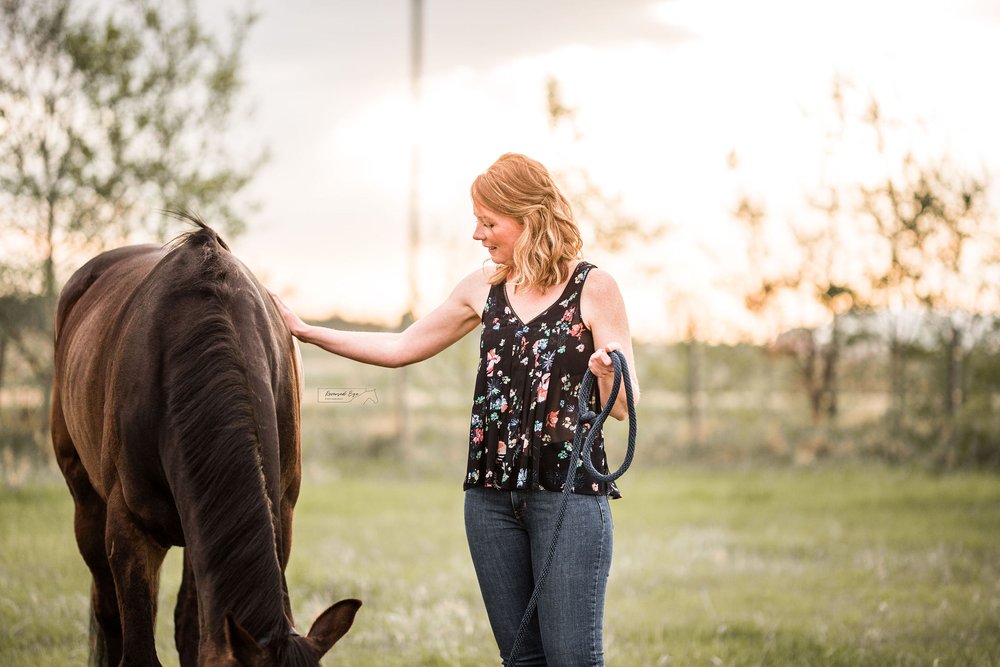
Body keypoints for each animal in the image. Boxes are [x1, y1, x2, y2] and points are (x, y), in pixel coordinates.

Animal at [50, 217, 362, 664]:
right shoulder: (129, 529)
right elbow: (139, 647)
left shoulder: (277, 516)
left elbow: (192, 630)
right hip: (85, 499)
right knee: (106, 609)